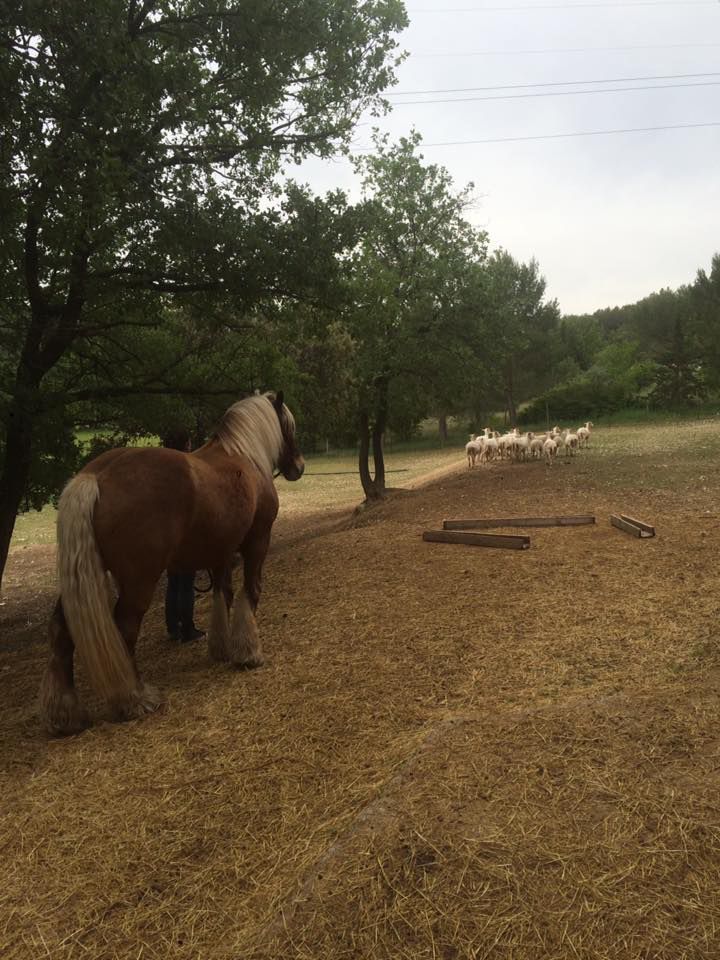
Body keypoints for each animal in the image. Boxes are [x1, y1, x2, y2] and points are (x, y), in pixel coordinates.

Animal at [39, 391, 304, 736]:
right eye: (290, 426)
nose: (298, 466)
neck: (245, 457)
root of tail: (96, 476)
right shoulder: (257, 544)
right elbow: (250, 592)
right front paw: (249, 653)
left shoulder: (220, 553)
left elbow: (222, 594)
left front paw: (221, 648)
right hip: (139, 581)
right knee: (125, 628)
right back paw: (135, 699)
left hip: (83, 577)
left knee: (60, 629)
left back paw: (66, 713)